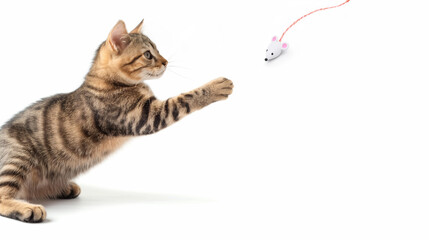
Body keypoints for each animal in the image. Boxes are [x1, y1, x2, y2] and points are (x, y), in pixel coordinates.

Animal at [0, 19, 234, 223]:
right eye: (148, 54)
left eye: (158, 50)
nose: (166, 62)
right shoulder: (146, 116)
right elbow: (184, 99)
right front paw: (217, 86)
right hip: (19, 157)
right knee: (3, 196)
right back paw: (29, 208)